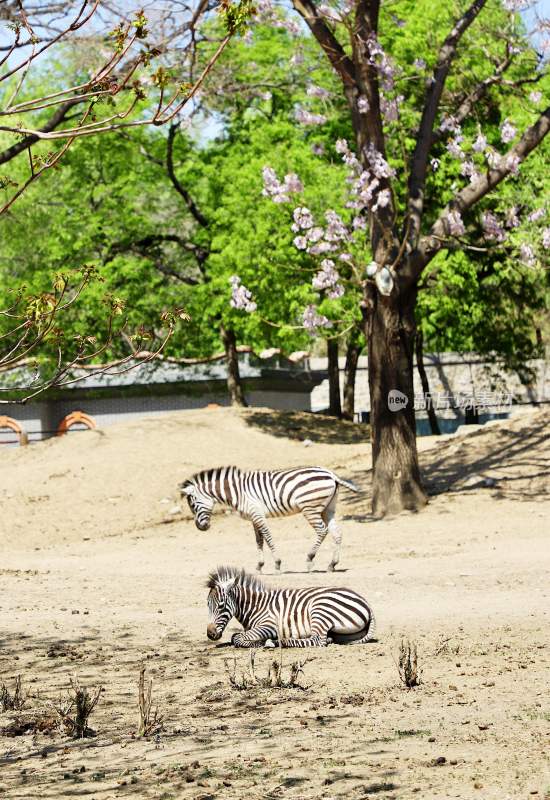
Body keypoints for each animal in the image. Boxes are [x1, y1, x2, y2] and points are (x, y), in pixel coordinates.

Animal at [181, 466, 362, 572]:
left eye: (193, 504)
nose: (200, 527)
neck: (236, 492)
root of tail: (331, 474)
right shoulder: (254, 517)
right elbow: (259, 541)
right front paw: (260, 566)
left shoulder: (257, 514)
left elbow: (267, 537)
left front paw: (277, 563)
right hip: (328, 509)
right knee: (337, 533)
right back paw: (332, 564)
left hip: (310, 508)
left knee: (322, 530)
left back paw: (310, 559)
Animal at [205, 564, 378, 648]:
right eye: (207, 605)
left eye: (221, 606)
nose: (210, 634)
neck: (256, 606)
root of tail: (366, 603)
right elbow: (234, 637)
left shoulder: (269, 625)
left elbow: (237, 637)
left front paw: (260, 642)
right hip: (345, 632)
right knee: (325, 639)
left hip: (320, 610)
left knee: (317, 641)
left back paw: (276, 642)